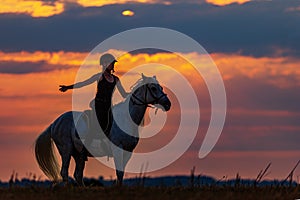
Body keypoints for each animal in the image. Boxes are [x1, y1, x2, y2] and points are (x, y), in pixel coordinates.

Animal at [34, 74, 171, 186]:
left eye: (161, 88)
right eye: (153, 88)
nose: (168, 104)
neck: (126, 118)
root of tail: (55, 123)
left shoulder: (128, 151)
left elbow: (121, 173)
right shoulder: (118, 149)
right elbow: (119, 172)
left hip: (78, 153)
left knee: (77, 174)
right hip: (66, 149)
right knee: (64, 172)